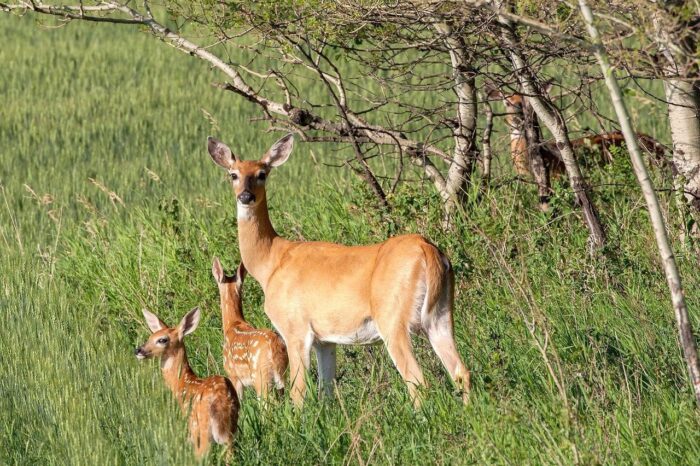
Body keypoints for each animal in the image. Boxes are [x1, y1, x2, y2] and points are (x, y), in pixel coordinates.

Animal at [136, 306, 241, 458]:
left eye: (162, 340)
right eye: (150, 337)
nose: (138, 350)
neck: (183, 384)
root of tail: (219, 399)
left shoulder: (191, 424)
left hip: (201, 426)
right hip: (231, 425)